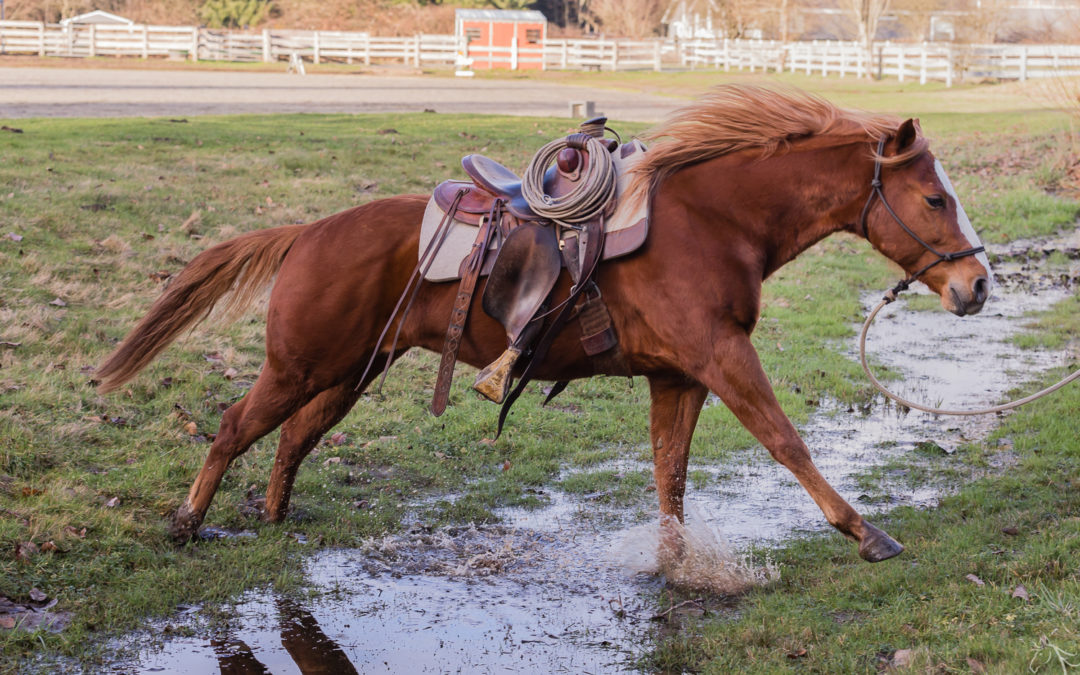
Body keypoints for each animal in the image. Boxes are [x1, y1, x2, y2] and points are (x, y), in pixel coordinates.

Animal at [97, 84, 989, 561]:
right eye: (932, 198)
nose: (977, 284)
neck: (708, 221)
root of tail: (306, 233)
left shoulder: (679, 375)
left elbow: (670, 473)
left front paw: (674, 564)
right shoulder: (721, 357)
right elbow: (784, 439)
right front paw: (864, 531)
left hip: (349, 372)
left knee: (290, 437)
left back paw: (275, 516)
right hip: (300, 366)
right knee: (232, 425)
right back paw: (186, 522)